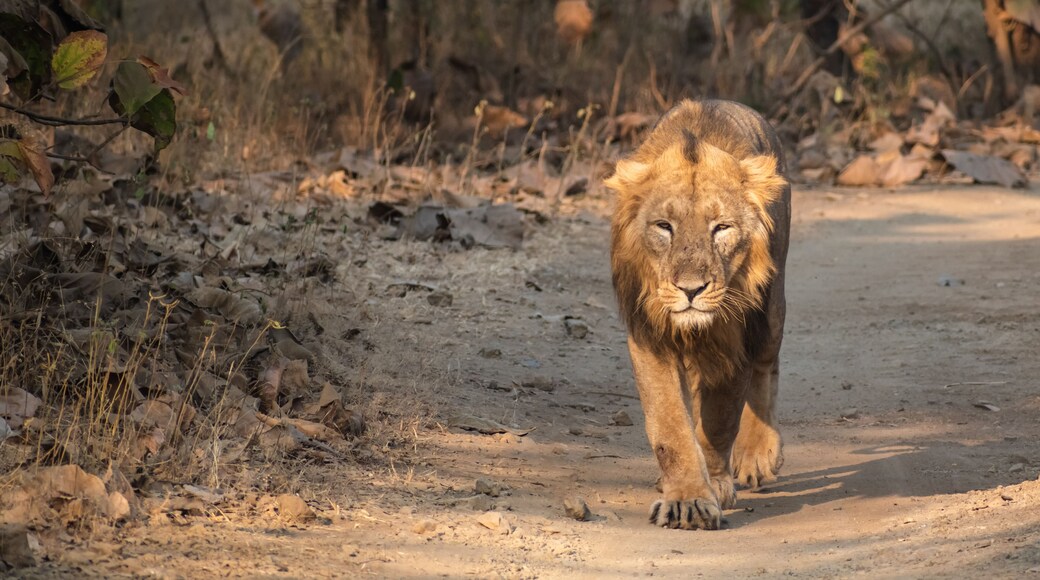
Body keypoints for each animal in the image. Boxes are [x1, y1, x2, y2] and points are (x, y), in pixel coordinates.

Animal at [605, 99, 791, 530]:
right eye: (664, 226)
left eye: (721, 227)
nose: (691, 290)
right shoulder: (649, 337)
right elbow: (670, 427)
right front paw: (686, 498)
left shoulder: (736, 338)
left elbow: (720, 419)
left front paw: (715, 484)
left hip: (771, 309)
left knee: (767, 366)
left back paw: (758, 453)